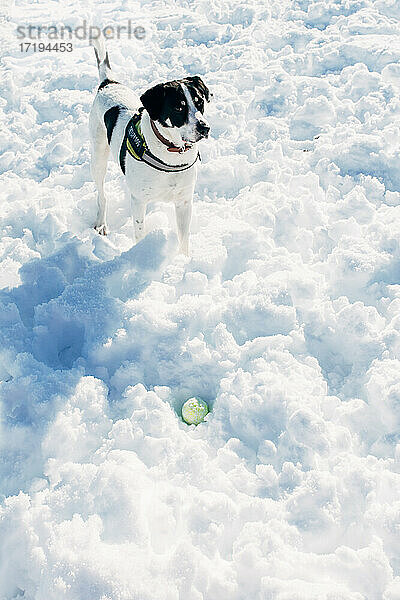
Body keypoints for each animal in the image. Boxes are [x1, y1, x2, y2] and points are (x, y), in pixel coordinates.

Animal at [89, 34, 211, 255]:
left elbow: (184, 239)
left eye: (199, 102)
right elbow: (140, 233)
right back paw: (101, 223)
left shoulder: (184, 201)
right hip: (98, 156)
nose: (205, 128)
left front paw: (184, 260)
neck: (172, 152)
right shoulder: (139, 201)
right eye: (178, 107)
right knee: (101, 195)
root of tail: (108, 83)